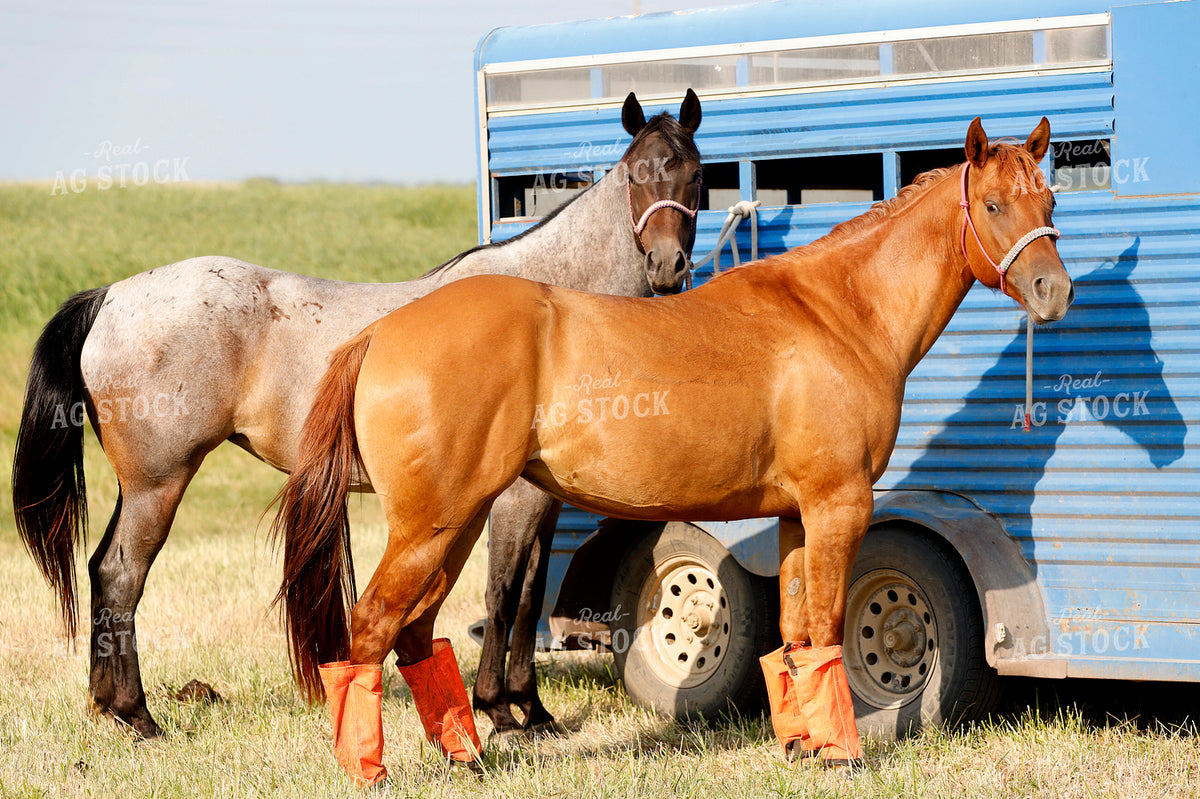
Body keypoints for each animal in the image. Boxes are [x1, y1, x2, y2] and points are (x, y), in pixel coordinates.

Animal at [11, 90, 703, 739]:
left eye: (696, 175)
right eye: (637, 174)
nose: (668, 267)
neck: (545, 304)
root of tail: (112, 296)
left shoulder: (542, 498)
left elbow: (531, 597)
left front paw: (533, 711)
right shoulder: (511, 501)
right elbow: (505, 595)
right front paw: (500, 712)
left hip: (141, 487)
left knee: (103, 570)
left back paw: (109, 706)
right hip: (160, 483)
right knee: (122, 574)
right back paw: (138, 714)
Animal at [271, 116, 1072, 782]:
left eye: (1050, 206)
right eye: (994, 207)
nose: (1053, 290)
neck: (834, 311)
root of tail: (382, 331)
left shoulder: (795, 516)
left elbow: (793, 636)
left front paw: (800, 743)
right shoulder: (837, 506)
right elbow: (826, 632)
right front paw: (840, 753)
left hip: (455, 524)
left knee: (414, 634)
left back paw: (466, 755)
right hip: (432, 526)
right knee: (371, 628)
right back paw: (369, 768)